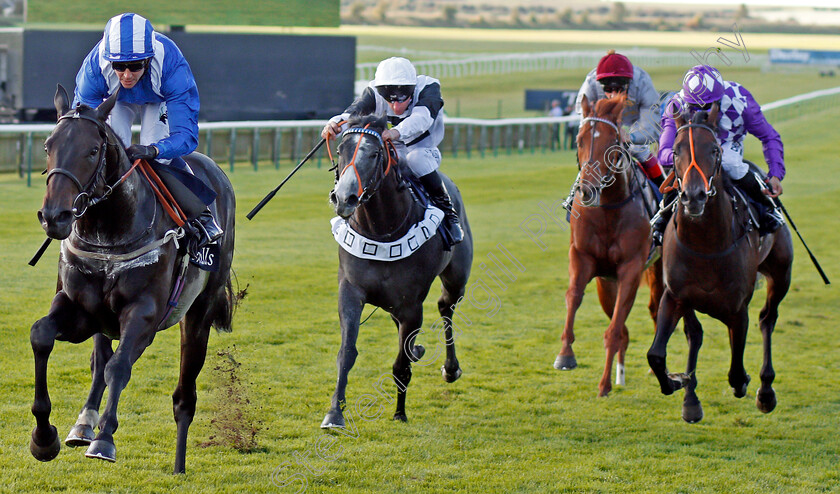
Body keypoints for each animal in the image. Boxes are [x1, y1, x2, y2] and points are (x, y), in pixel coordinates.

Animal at [31, 86, 235, 474]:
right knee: (99, 362)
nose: (54, 216)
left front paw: (105, 440)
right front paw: (44, 437)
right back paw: (83, 423)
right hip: (104, 322)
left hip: (198, 313)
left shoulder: (144, 314)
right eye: (48, 146)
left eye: (92, 150)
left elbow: (120, 367)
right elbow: (42, 335)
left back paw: (178, 464)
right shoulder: (80, 309)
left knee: (184, 395)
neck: (108, 232)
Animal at [322, 114, 472, 426]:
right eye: (340, 149)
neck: (382, 231)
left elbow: (400, 364)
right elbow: (347, 352)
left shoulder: (411, 305)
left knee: (446, 306)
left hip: (457, 278)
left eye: (374, 153)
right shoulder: (350, 291)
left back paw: (451, 368)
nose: (344, 198)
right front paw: (334, 413)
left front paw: (400, 412)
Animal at [556, 95, 668, 398]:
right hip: (607, 282)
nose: (587, 190)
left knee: (655, 308)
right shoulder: (582, 258)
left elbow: (615, 329)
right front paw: (565, 354)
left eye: (612, 142)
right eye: (579, 139)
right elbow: (573, 297)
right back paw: (621, 373)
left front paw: (604, 384)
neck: (608, 209)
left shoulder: (631, 268)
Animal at [648, 106, 792, 422]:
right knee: (695, 334)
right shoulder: (675, 295)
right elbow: (656, 355)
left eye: (714, 150)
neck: (706, 245)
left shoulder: (737, 308)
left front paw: (749, 385)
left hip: (781, 273)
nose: (693, 196)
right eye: (675, 151)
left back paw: (766, 392)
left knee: (768, 318)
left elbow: (737, 373)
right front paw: (678, 381)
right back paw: (691, 401)